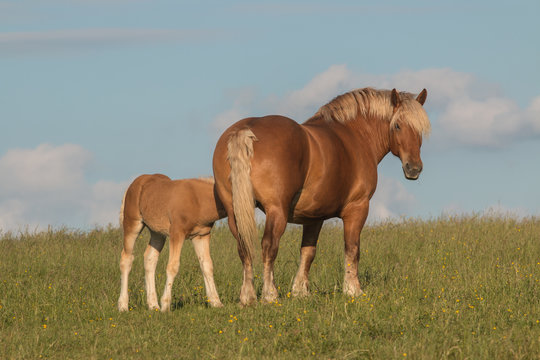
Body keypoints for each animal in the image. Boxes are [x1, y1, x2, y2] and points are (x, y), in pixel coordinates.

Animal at [117, 174, 227, 312]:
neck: (197, 200)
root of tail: (137, 182)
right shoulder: (176, 233)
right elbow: (173, 266)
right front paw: (165, 305)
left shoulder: (201, 236)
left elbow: (207, 265)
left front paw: (216, 302)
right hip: (132, 224)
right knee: (126, 259)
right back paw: (123, 306)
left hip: (157, 233)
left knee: (150, 259)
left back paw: (153, 305)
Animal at [211, 86, 430, 304]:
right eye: (398, 126)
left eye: (420, 129)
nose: (414, 168)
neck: (355, 136)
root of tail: (246, 130)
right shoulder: (357, 208)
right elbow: (352, 248)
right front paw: (353, 290)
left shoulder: (313, 217)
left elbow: (308, 252)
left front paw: (301, 291)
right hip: (276, 211)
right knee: (269, 246)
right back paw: (270, 294)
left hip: (235, 212)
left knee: (244, 247)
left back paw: (247, 296)